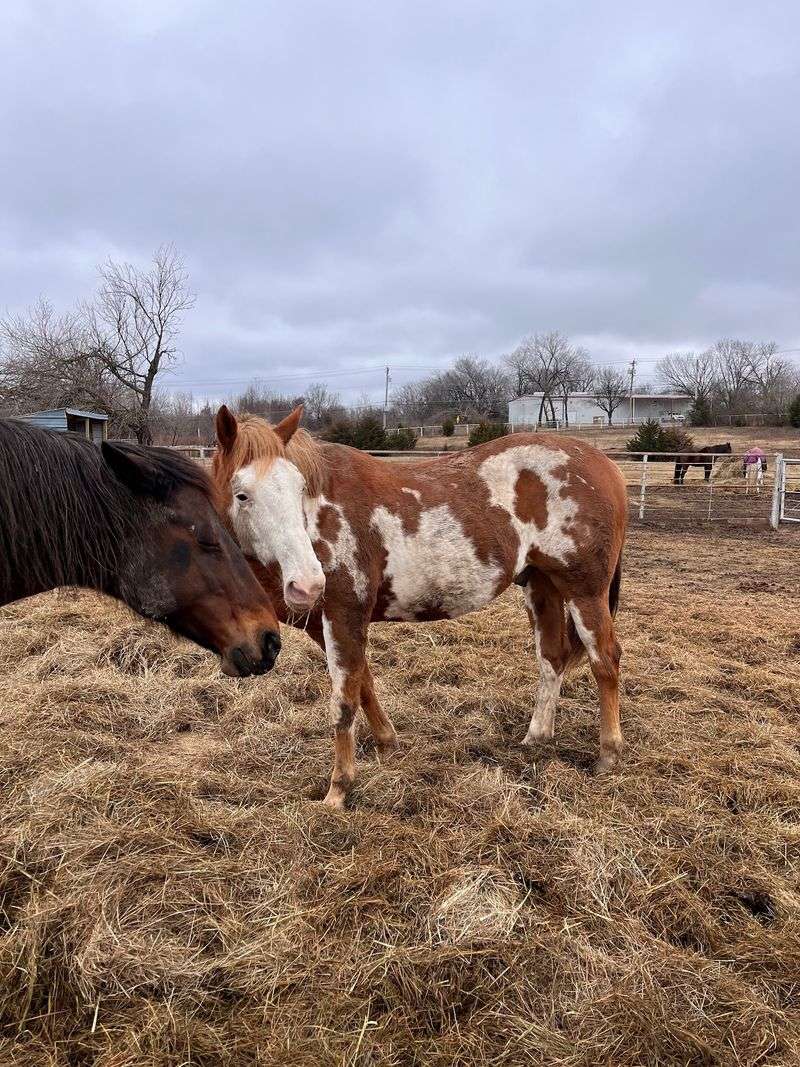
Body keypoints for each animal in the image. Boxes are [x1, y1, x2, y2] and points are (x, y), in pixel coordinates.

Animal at [212, 405, 629, 809]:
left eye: (300, 489)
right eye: (242, 495)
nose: (308, 582)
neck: (319, 519)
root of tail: (605, 466)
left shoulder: (344, 614)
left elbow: (343, 702)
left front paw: (338, 790)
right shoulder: (324, 624)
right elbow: (363, 684)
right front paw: (387, 745)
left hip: (585, 593)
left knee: (605, 660)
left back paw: (608, 754)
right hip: (542, 586)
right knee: (552, 657)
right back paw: (536, 737)